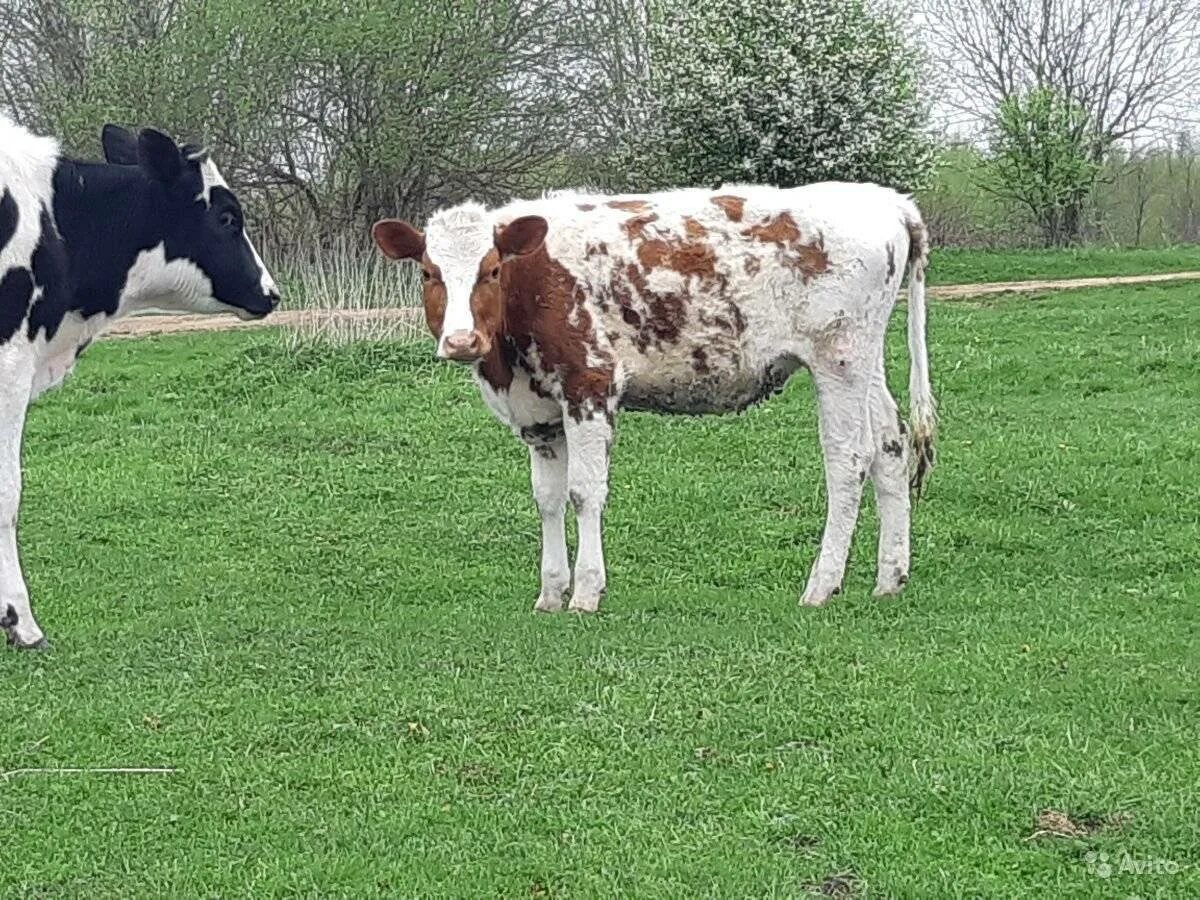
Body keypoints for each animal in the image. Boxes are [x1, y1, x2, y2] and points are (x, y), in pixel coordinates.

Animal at [374, 187, 936, 619]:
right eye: (428, 273)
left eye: (491, 270)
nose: (461, 340)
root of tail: (888, 200)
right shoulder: (539, 414)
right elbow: (547, 499)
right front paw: (550, 593)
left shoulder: (590, 385)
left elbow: (584, 492)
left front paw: (586, 592)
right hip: (865, 363)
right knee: (890, 447)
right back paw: (889, 578)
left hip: (837, 360)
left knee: (848, 461)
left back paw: (822, 585)